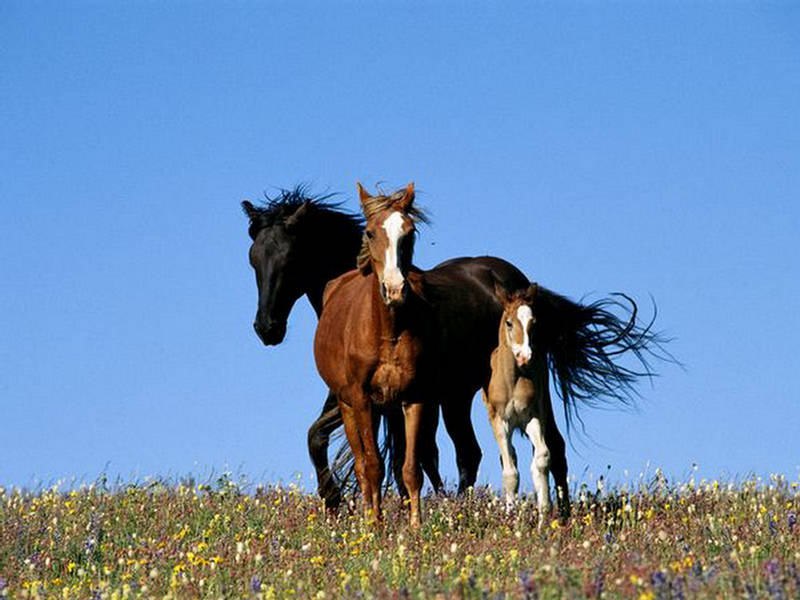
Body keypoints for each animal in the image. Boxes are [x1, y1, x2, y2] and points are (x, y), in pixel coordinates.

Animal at [482, 284, 552, 524]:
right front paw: (509, 519)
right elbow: (510, 472)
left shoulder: (533, 416)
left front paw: (544, 517)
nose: (525, 356)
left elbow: (542, 458)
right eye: (509, 322)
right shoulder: (500, 421)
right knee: (509, 456)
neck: (512, 380)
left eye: (533, 322)